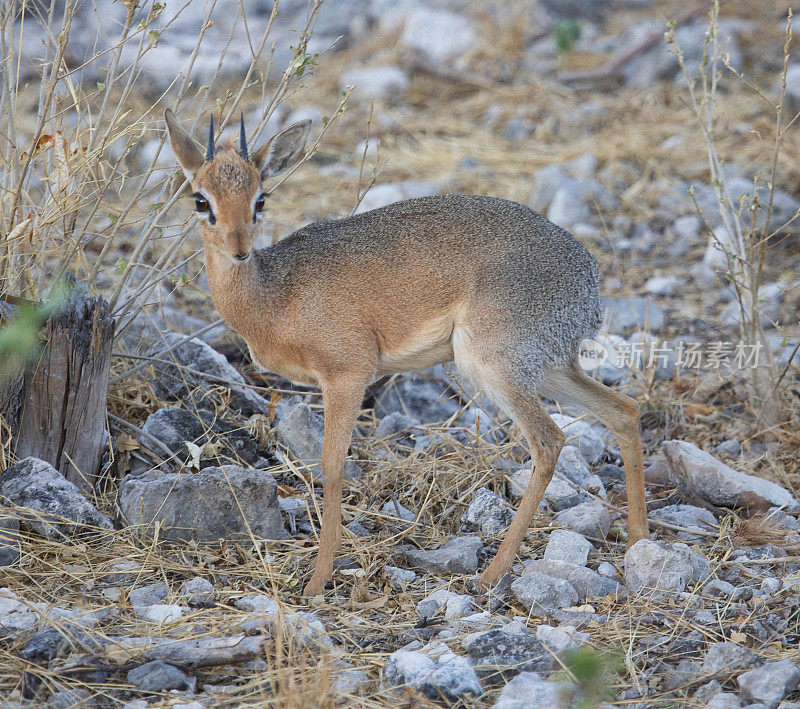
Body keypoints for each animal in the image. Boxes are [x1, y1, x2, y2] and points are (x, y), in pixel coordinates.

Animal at [164, 109, 648, 596]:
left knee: (550, 441)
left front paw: (318, 579)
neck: (273, 297)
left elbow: (332, 467)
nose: (239, 250)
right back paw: (639, 543)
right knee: (623, 410)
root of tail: (588, 275)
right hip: (547, 367)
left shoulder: (347, 375)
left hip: (495, 367)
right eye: (200, 200)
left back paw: (493, 573)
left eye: (260, 199)